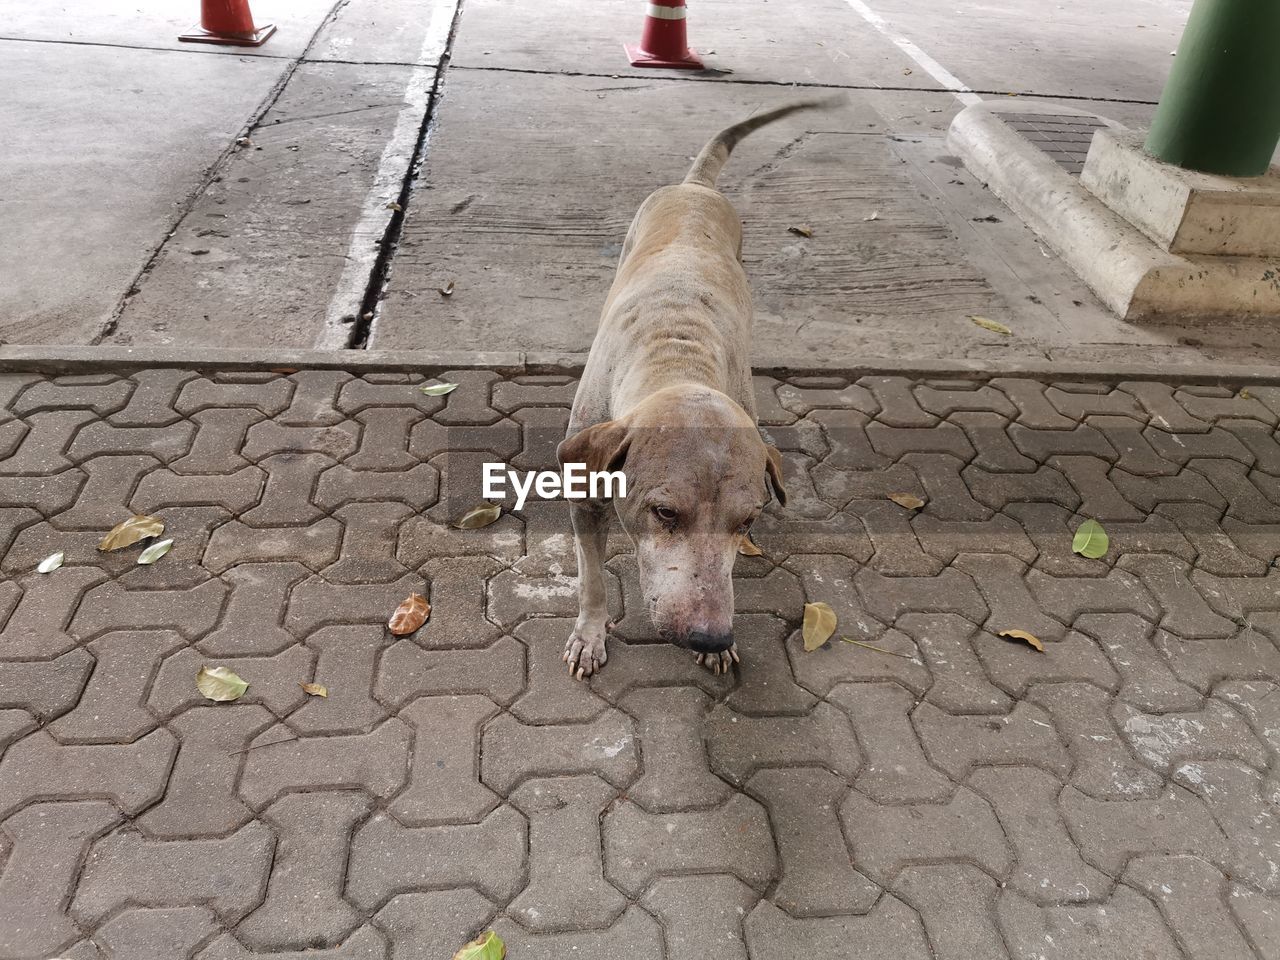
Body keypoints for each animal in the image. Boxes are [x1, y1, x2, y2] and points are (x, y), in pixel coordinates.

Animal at [555, 101, 834, 680]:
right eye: (665, 514)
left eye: (746, 520)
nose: (711, 635)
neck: (677, 359)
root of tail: (695, 188)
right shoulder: (585, 491)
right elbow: (591, 577)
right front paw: (590, 634)